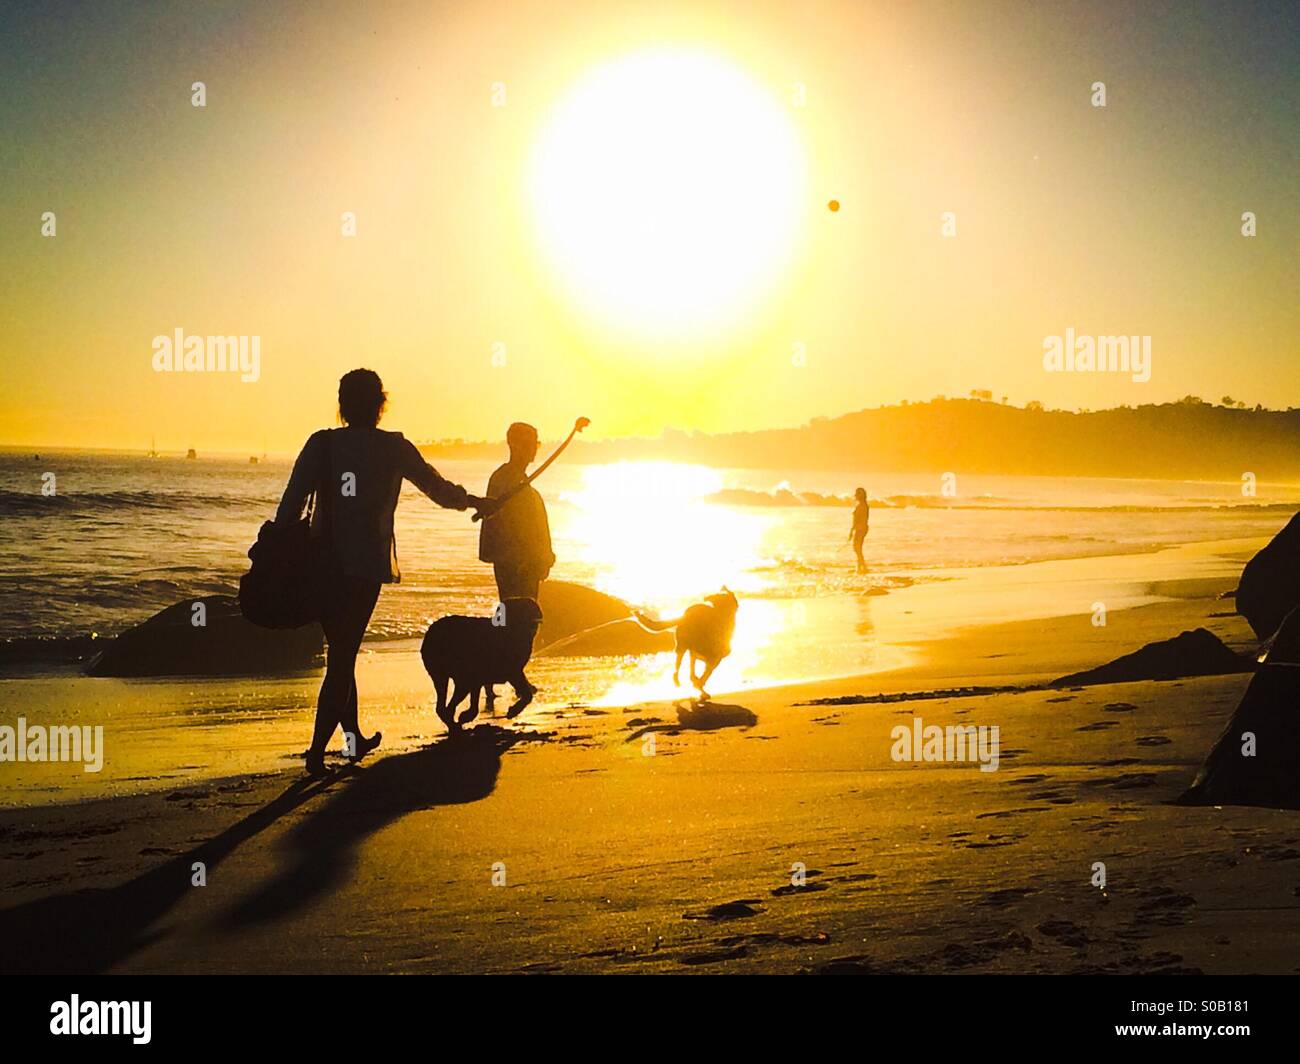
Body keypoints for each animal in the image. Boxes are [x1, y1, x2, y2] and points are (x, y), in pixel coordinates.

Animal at [421, 598, 543, 728]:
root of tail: (431, 631)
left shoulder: (508, 673)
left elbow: (527, 693)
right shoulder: (509, 673)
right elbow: (527, 694)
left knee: (445, 706)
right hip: (452, 675)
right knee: (445, 707)